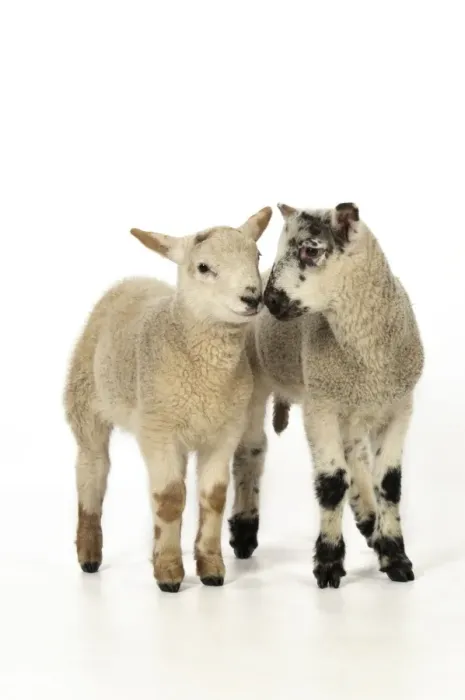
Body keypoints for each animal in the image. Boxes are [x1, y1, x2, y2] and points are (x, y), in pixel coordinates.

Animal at [63, 206, 272, 592]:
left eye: (257, 256)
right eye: (203, 267)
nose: (253, 298)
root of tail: (129, 280)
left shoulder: (223, 431)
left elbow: (213, 497)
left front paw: (210, 568)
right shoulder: (158, 432)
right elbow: (170, 499)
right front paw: (169, 572)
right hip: (85, 404)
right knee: (92, 469)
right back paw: (88, 555)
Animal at [229, 202, 424, 588]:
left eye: (310, 249)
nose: (269, 300)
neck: (367, 354)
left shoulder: (397, 407)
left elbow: (388, 483)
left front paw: (395, 556)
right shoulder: (320, 407)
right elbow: (332, 484)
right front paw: (329, 564)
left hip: (350, 407)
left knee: (355, 457)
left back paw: (369, 524)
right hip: (256, 384)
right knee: (250, 452)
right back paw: (243, 534)